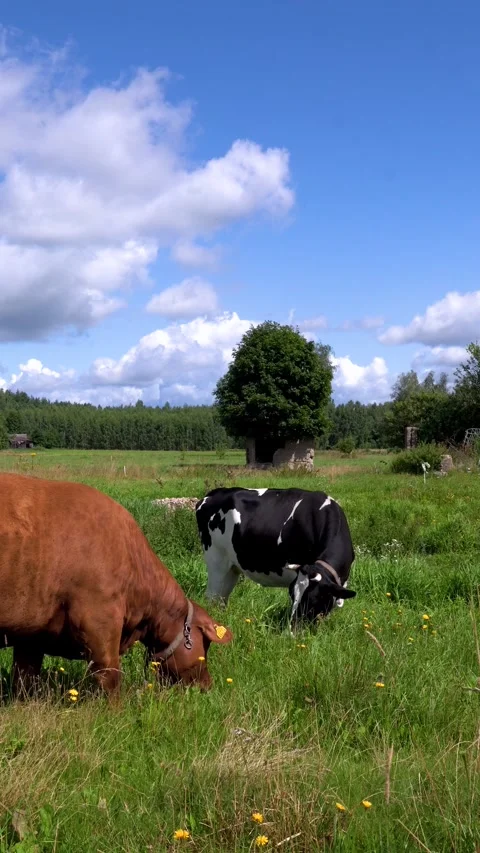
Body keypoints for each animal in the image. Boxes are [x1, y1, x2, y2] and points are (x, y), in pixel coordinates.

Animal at [0, 473, 233, 697]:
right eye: (205, 646)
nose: (207, 686)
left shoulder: (31, 634)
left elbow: (24, 680)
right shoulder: (100, 620)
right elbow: (110, 674)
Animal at [195, 486, 356, 625]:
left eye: (315, 599)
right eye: (292, 595)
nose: (292, 633)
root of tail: (213, 494)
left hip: (232, 568)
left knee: (221, 598)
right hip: (216, 561)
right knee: (211, 597)